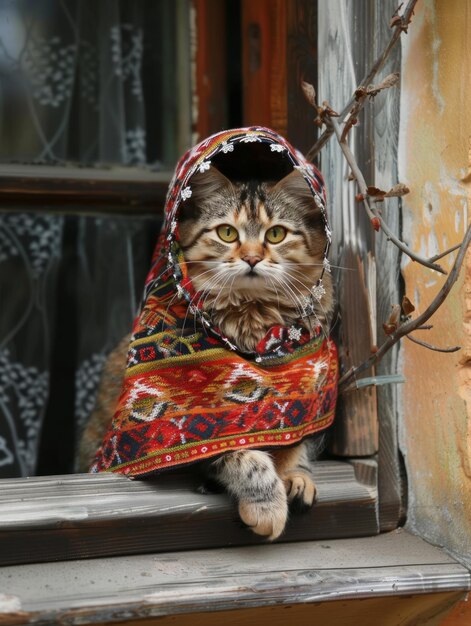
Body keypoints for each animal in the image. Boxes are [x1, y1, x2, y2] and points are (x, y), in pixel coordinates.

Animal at [77, 163, 334, 540]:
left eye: (276, 235)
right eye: (227, 233)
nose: (252, 259)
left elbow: (294, 444)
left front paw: (296, 475)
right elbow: (244, 456)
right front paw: (267, 507)